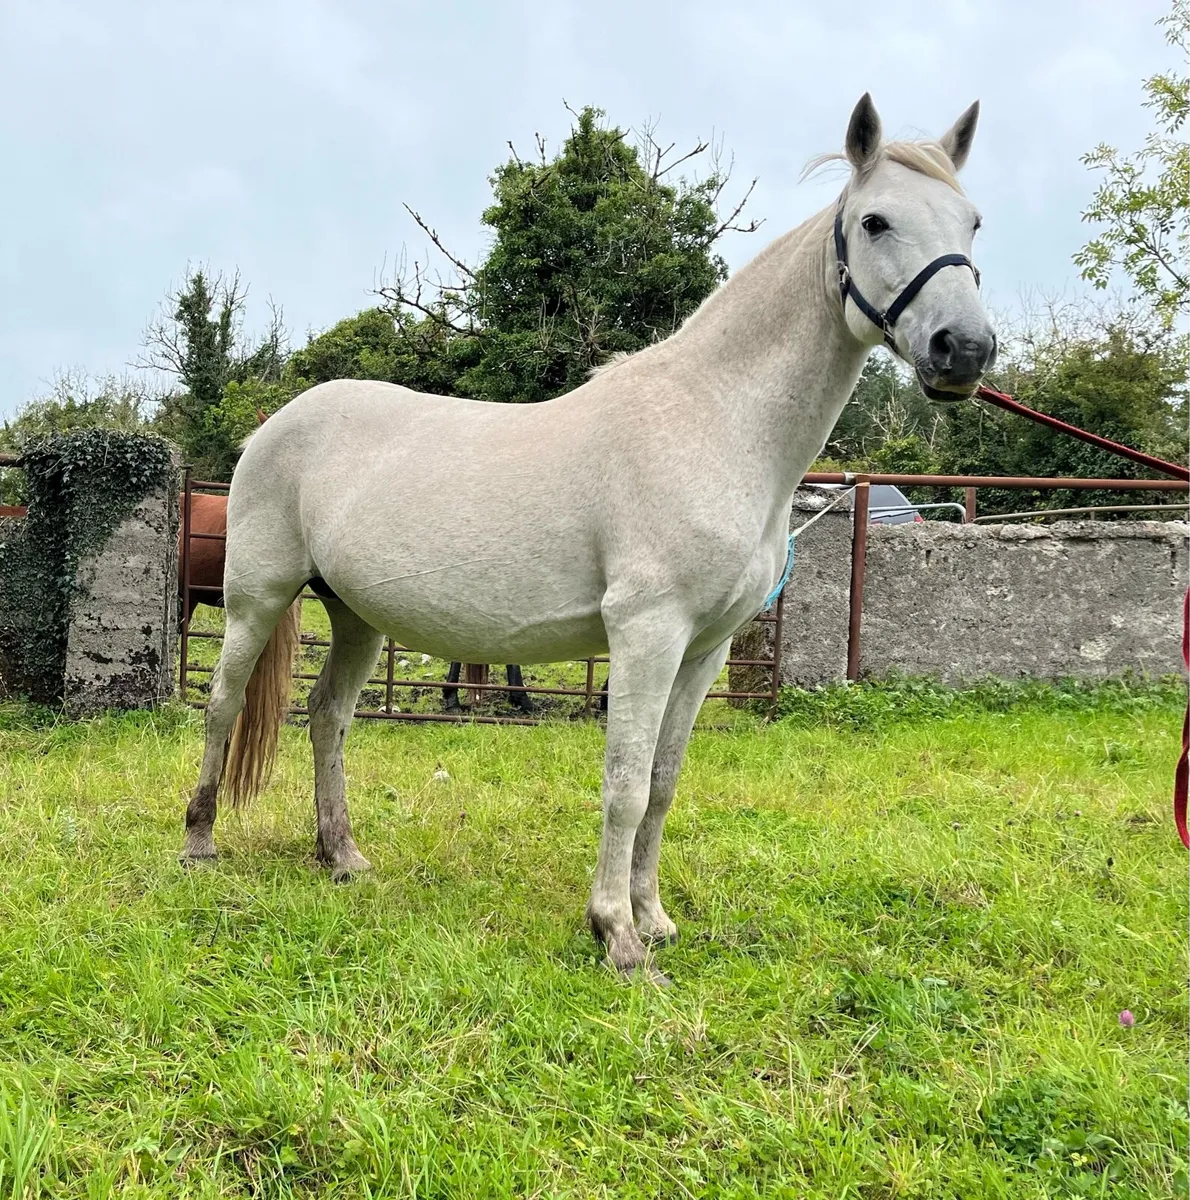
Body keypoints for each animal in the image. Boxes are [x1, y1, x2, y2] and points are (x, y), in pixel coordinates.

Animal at [180, 95, 995, 980]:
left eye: (973, 221)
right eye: (875, 221)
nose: (965, 349)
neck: (715, 422)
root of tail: (277, 424)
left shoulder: (705, 650)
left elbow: (664, 782)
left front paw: (655, 917)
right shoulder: (647, 634)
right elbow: (626, 784)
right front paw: (619, 936)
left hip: (357, 616)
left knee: (327, 716)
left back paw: (342, 856)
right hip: (255, 600)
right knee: (222, 703)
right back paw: (199, 841)